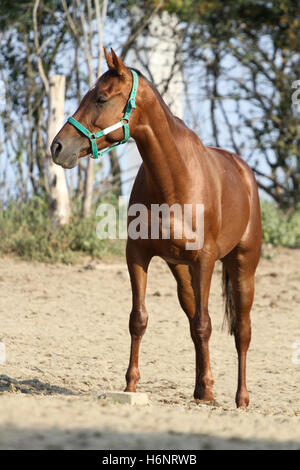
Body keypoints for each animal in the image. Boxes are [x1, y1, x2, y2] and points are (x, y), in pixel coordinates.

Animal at [51, 48, 262, 408]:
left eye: (101, 97)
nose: (57, 148)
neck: (176, 180)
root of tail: (245, 171)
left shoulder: (205, 260)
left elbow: (208, 325)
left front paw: (213, 394)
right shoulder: (137, 254)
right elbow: (140, 319)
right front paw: (131, 386)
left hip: (243, 266)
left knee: (242, 330)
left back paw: (241, 398)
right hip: (182, 272)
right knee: (194, 321)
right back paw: (201, 388)